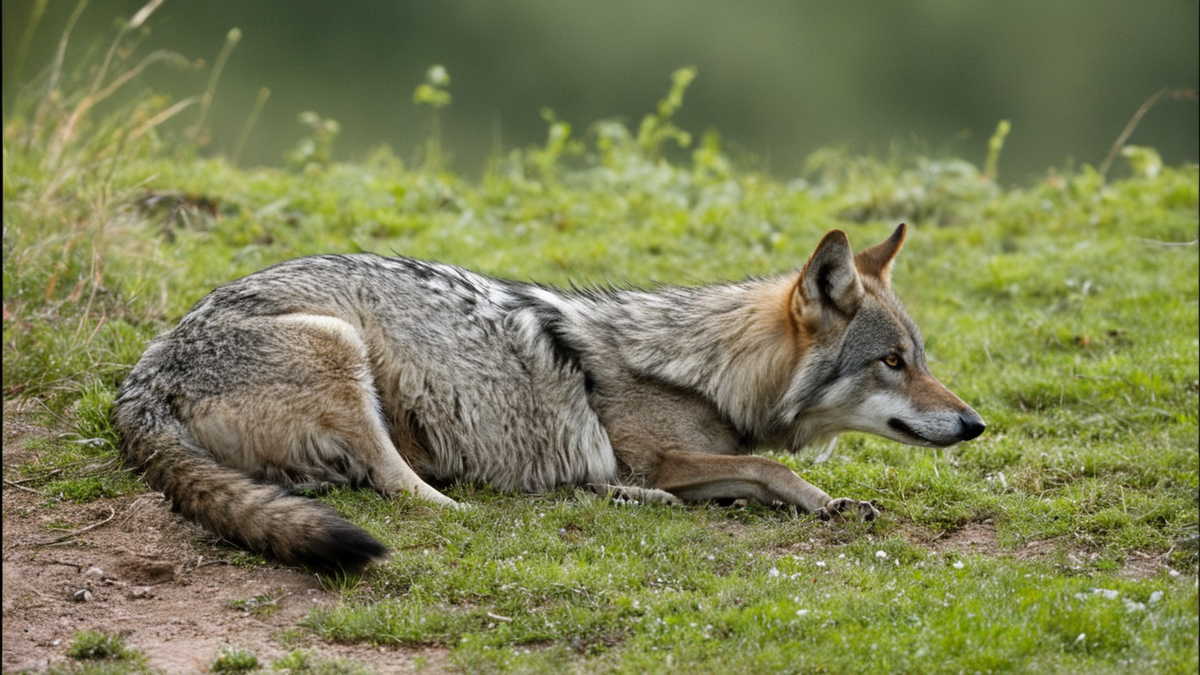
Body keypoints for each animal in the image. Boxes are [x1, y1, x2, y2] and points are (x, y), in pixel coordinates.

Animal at [113, 223, 984, 573]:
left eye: (919, 360)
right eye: (892, 362)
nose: (976, 423)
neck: (709, 370)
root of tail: (139, 382)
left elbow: (765, 473)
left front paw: (830, 501)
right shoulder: (655, 453)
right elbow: (769, 468)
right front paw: (816, 495)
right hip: (342, 345)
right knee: (406, 487)